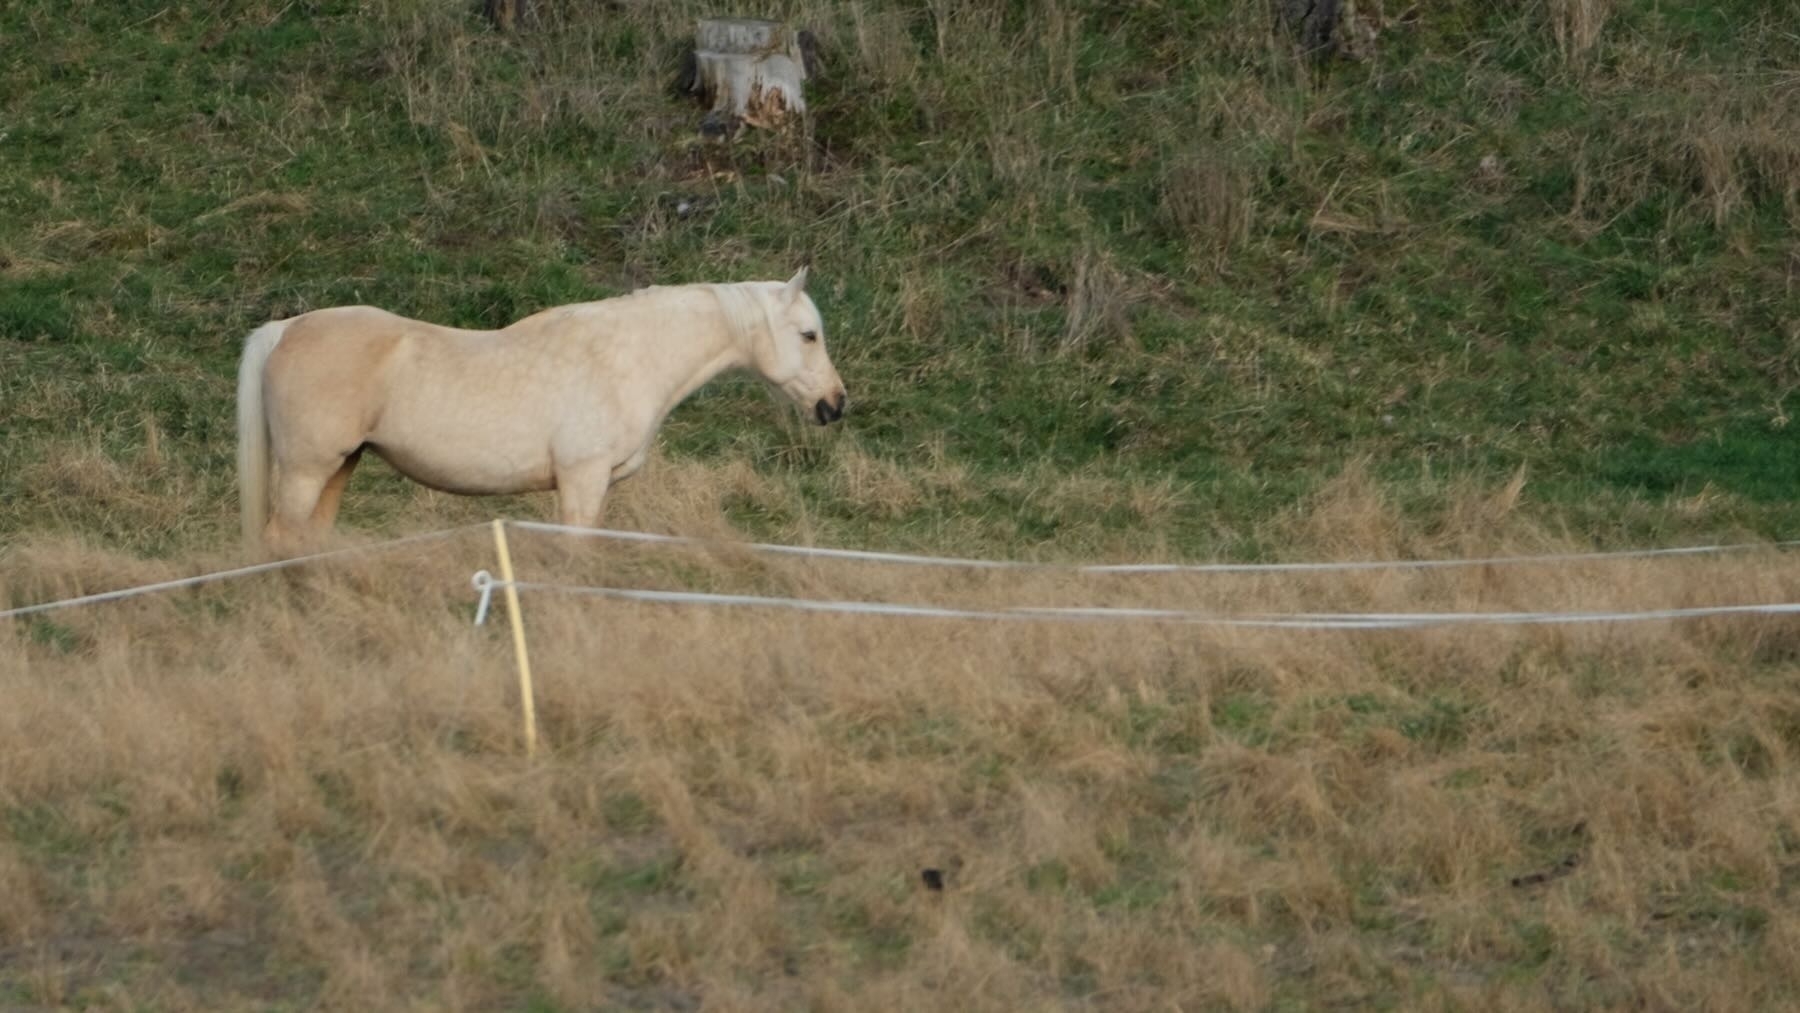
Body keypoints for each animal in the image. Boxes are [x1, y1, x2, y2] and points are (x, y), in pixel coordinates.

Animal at [235, 268, 846, 554]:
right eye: (809, 335)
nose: (835, 404)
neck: (627, 355)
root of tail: (287, 328)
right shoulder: (582, 481)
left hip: (340, 466)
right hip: (307, 470)